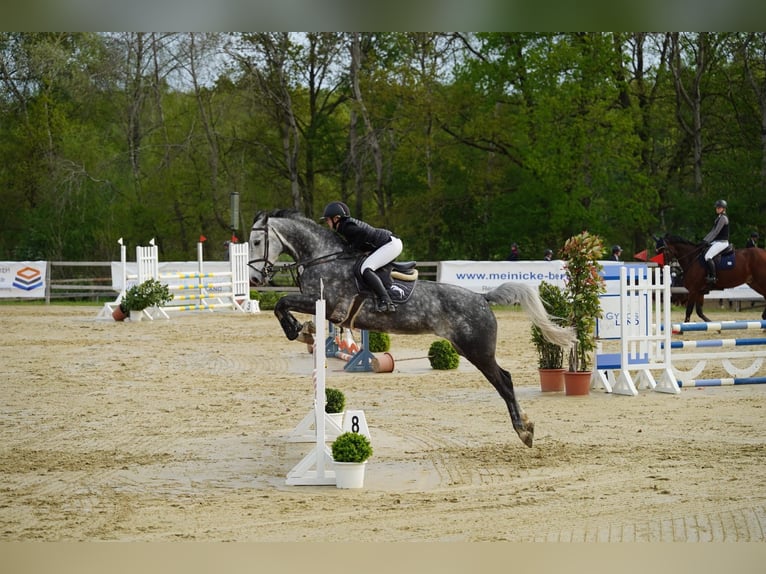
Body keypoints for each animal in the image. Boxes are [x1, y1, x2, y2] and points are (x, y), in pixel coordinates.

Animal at [248, 209, 575, 448]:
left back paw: (524, 431)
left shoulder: (329, 306)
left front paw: (297, 329)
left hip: (477, 350)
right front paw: (302, 329)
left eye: (256, 242)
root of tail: (481, 298)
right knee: (503, 381)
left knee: (504, 382)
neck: (322, 257)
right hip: (468, 348)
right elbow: (283, 305)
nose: (254, 280)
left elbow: (282, 302)